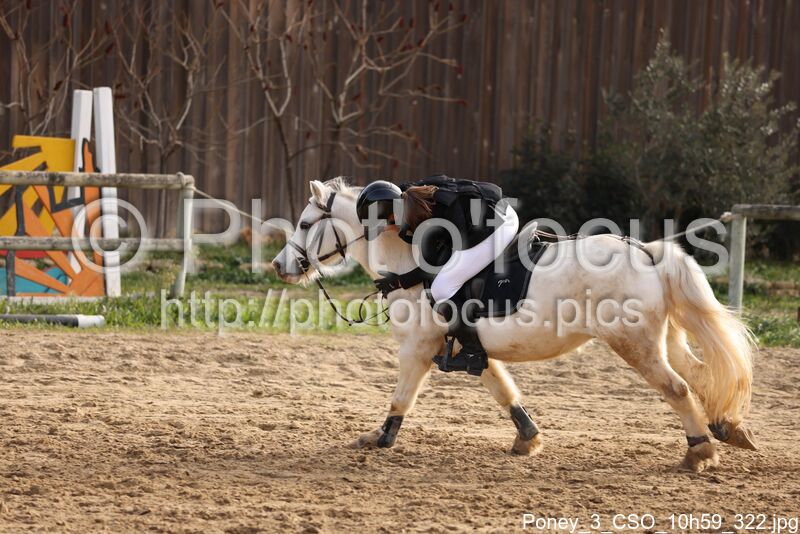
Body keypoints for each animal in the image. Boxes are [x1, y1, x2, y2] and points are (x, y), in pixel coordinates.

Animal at [271, 178, 757, 472]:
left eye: (305, 223)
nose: (279, 266)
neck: (411, 263)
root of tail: (646, 251)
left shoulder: (418, 349)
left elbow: (400, 399)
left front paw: (379, 438)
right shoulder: (470, 347)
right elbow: (505, 392)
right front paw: (528, 440)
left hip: (635, 345)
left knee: (679, 388)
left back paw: (700, 451)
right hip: (664, 341)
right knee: (703, 376)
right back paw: (729, 428)